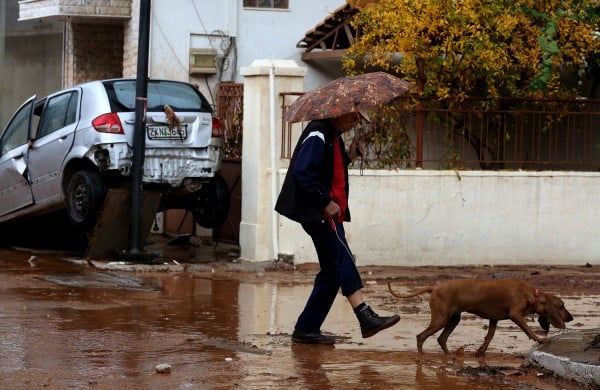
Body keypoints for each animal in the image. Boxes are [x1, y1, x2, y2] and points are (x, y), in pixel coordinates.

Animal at [386, 278, 576, 356]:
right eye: (562, 306)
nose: (571, 318)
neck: (531, 294)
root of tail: (434, 287)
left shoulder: (494, 319)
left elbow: (489, 336)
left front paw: (481, 351)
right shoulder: (515, 315)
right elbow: (528, 330)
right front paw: (541, 339)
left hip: (453, 319)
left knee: (441, 339)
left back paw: (449, 355)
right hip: (441, 319)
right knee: (421, 336)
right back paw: (421, 357)